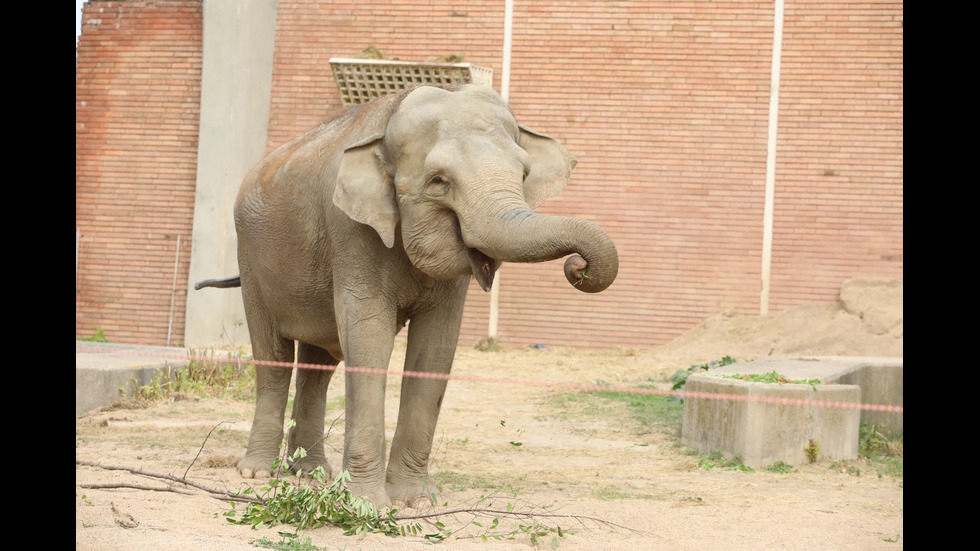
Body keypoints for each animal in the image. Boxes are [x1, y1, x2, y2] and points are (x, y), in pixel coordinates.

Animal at [195, 82, 616, 508]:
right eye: (439, 181)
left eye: (525, 173)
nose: (578, 266)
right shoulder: (350, 228)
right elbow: (369, 337)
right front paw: (367, 505)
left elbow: (436, 347)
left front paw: (416, 501)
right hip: (251, 261)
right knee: (274, 357)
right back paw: (257, 473)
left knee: (320, 364)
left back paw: (311, 474)